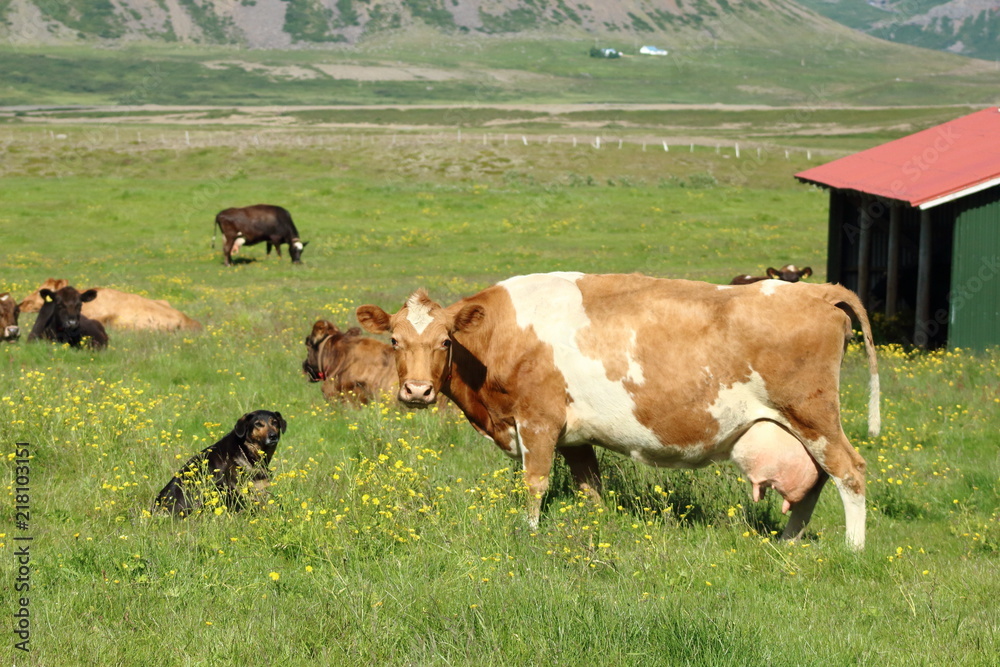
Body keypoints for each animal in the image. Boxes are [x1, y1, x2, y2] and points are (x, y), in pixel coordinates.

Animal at [358, 270, 876, 548]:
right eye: (395, 340)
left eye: (445, 341)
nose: (418, 391)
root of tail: (816, 291)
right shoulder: (575, 437)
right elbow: (592, 490)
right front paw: (597, 530)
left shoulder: (538, 421)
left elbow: (535, 483)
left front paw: (529, 533)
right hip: (798, 428)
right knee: (814, 481)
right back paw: (788, 542)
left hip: (814, 417)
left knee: (849, 472)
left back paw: (852, 549)